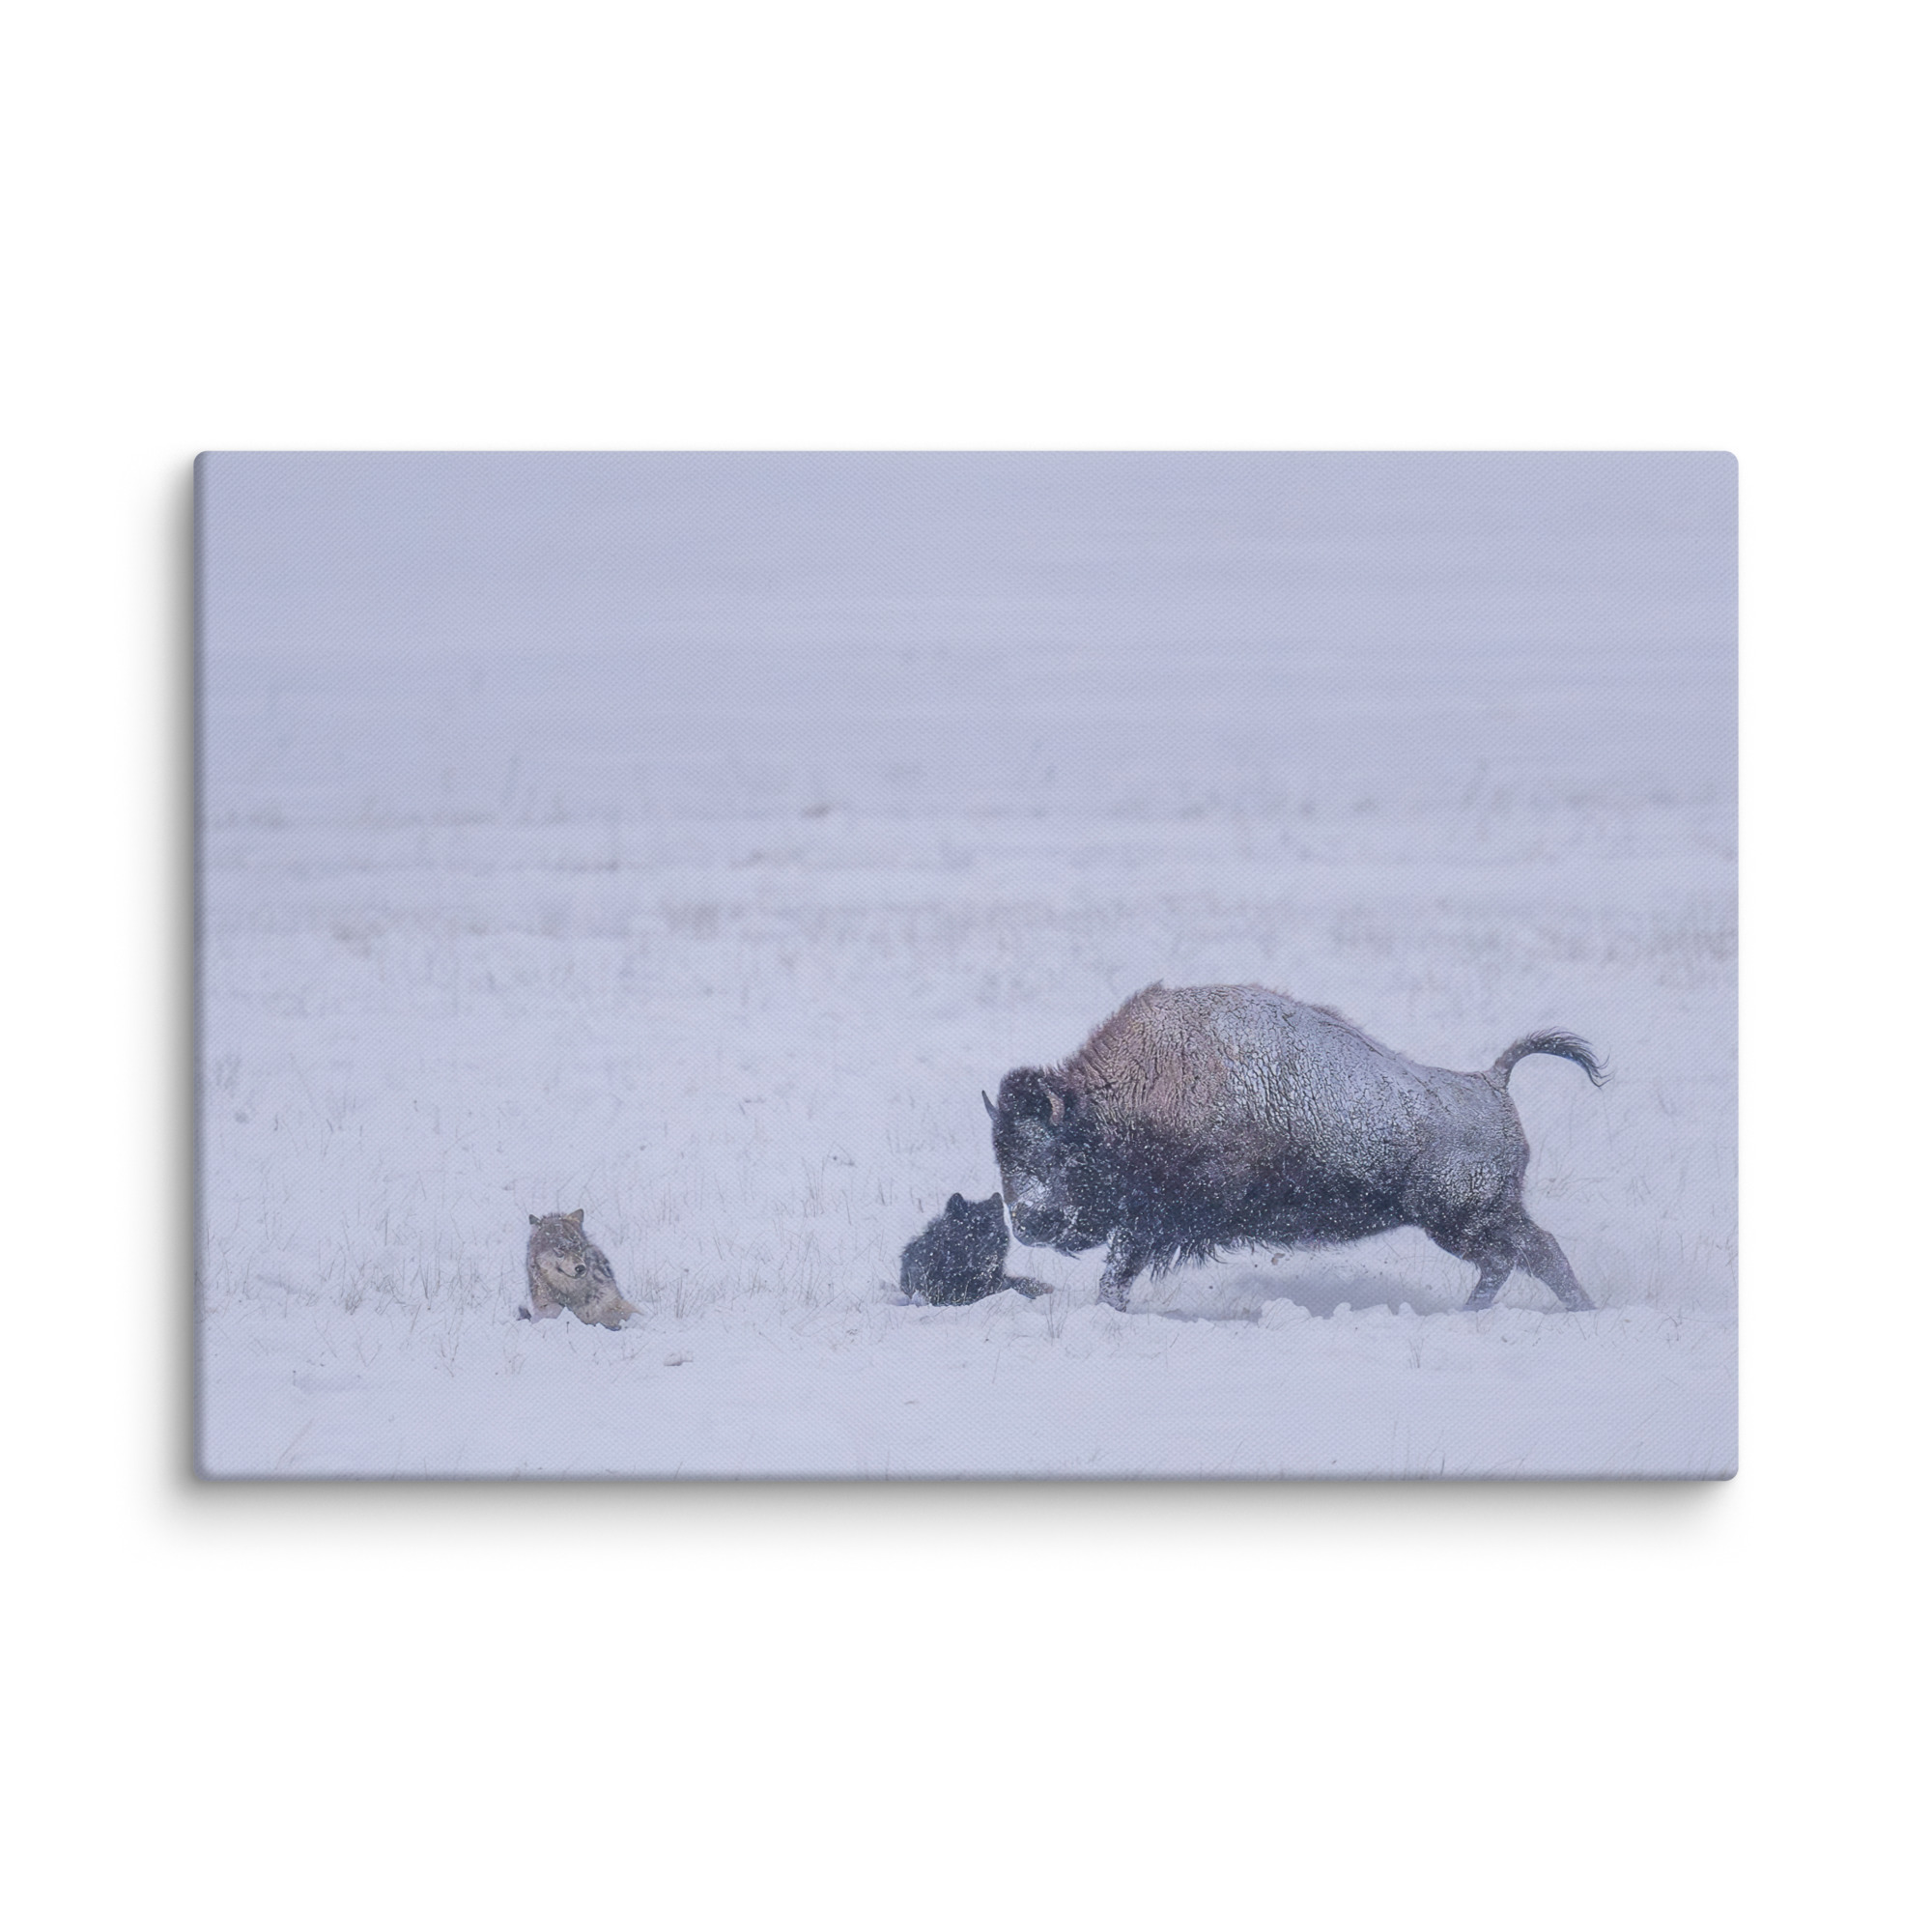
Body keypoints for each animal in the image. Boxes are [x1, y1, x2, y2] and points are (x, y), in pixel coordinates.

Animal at [984, 983, 1605, 1312]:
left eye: (1056, 1153)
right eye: (1002, 1156)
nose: (1027, 1222)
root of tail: (1490, 1082)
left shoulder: (1155, 1223)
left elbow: (1117, 1271)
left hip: (1462, 1219)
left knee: (1526, 1254)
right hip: (1474, 1219)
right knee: (1522, 1257)